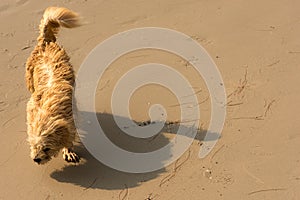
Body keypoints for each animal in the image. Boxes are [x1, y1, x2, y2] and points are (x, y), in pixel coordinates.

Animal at [25, 7, 80, 165]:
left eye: (46, 148)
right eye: (34, 145)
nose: (36, 159)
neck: (47, 110)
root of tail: (45, 42)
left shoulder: (70, 120)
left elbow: (69, 136)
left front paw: (68, 150)